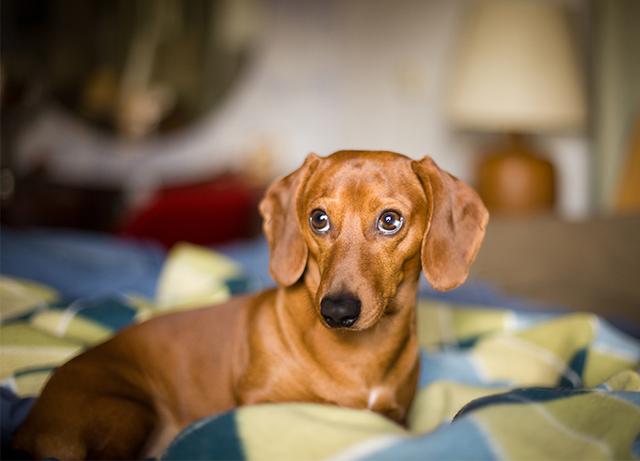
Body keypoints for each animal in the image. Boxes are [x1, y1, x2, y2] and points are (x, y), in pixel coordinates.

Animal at [12, 150, 488, 456]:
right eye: (318, 219)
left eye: (390, 221)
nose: (336, 311)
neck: (359, 356)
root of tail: (30, 422)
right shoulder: (261, 404)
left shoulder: (395, 418)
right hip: (123, 410)